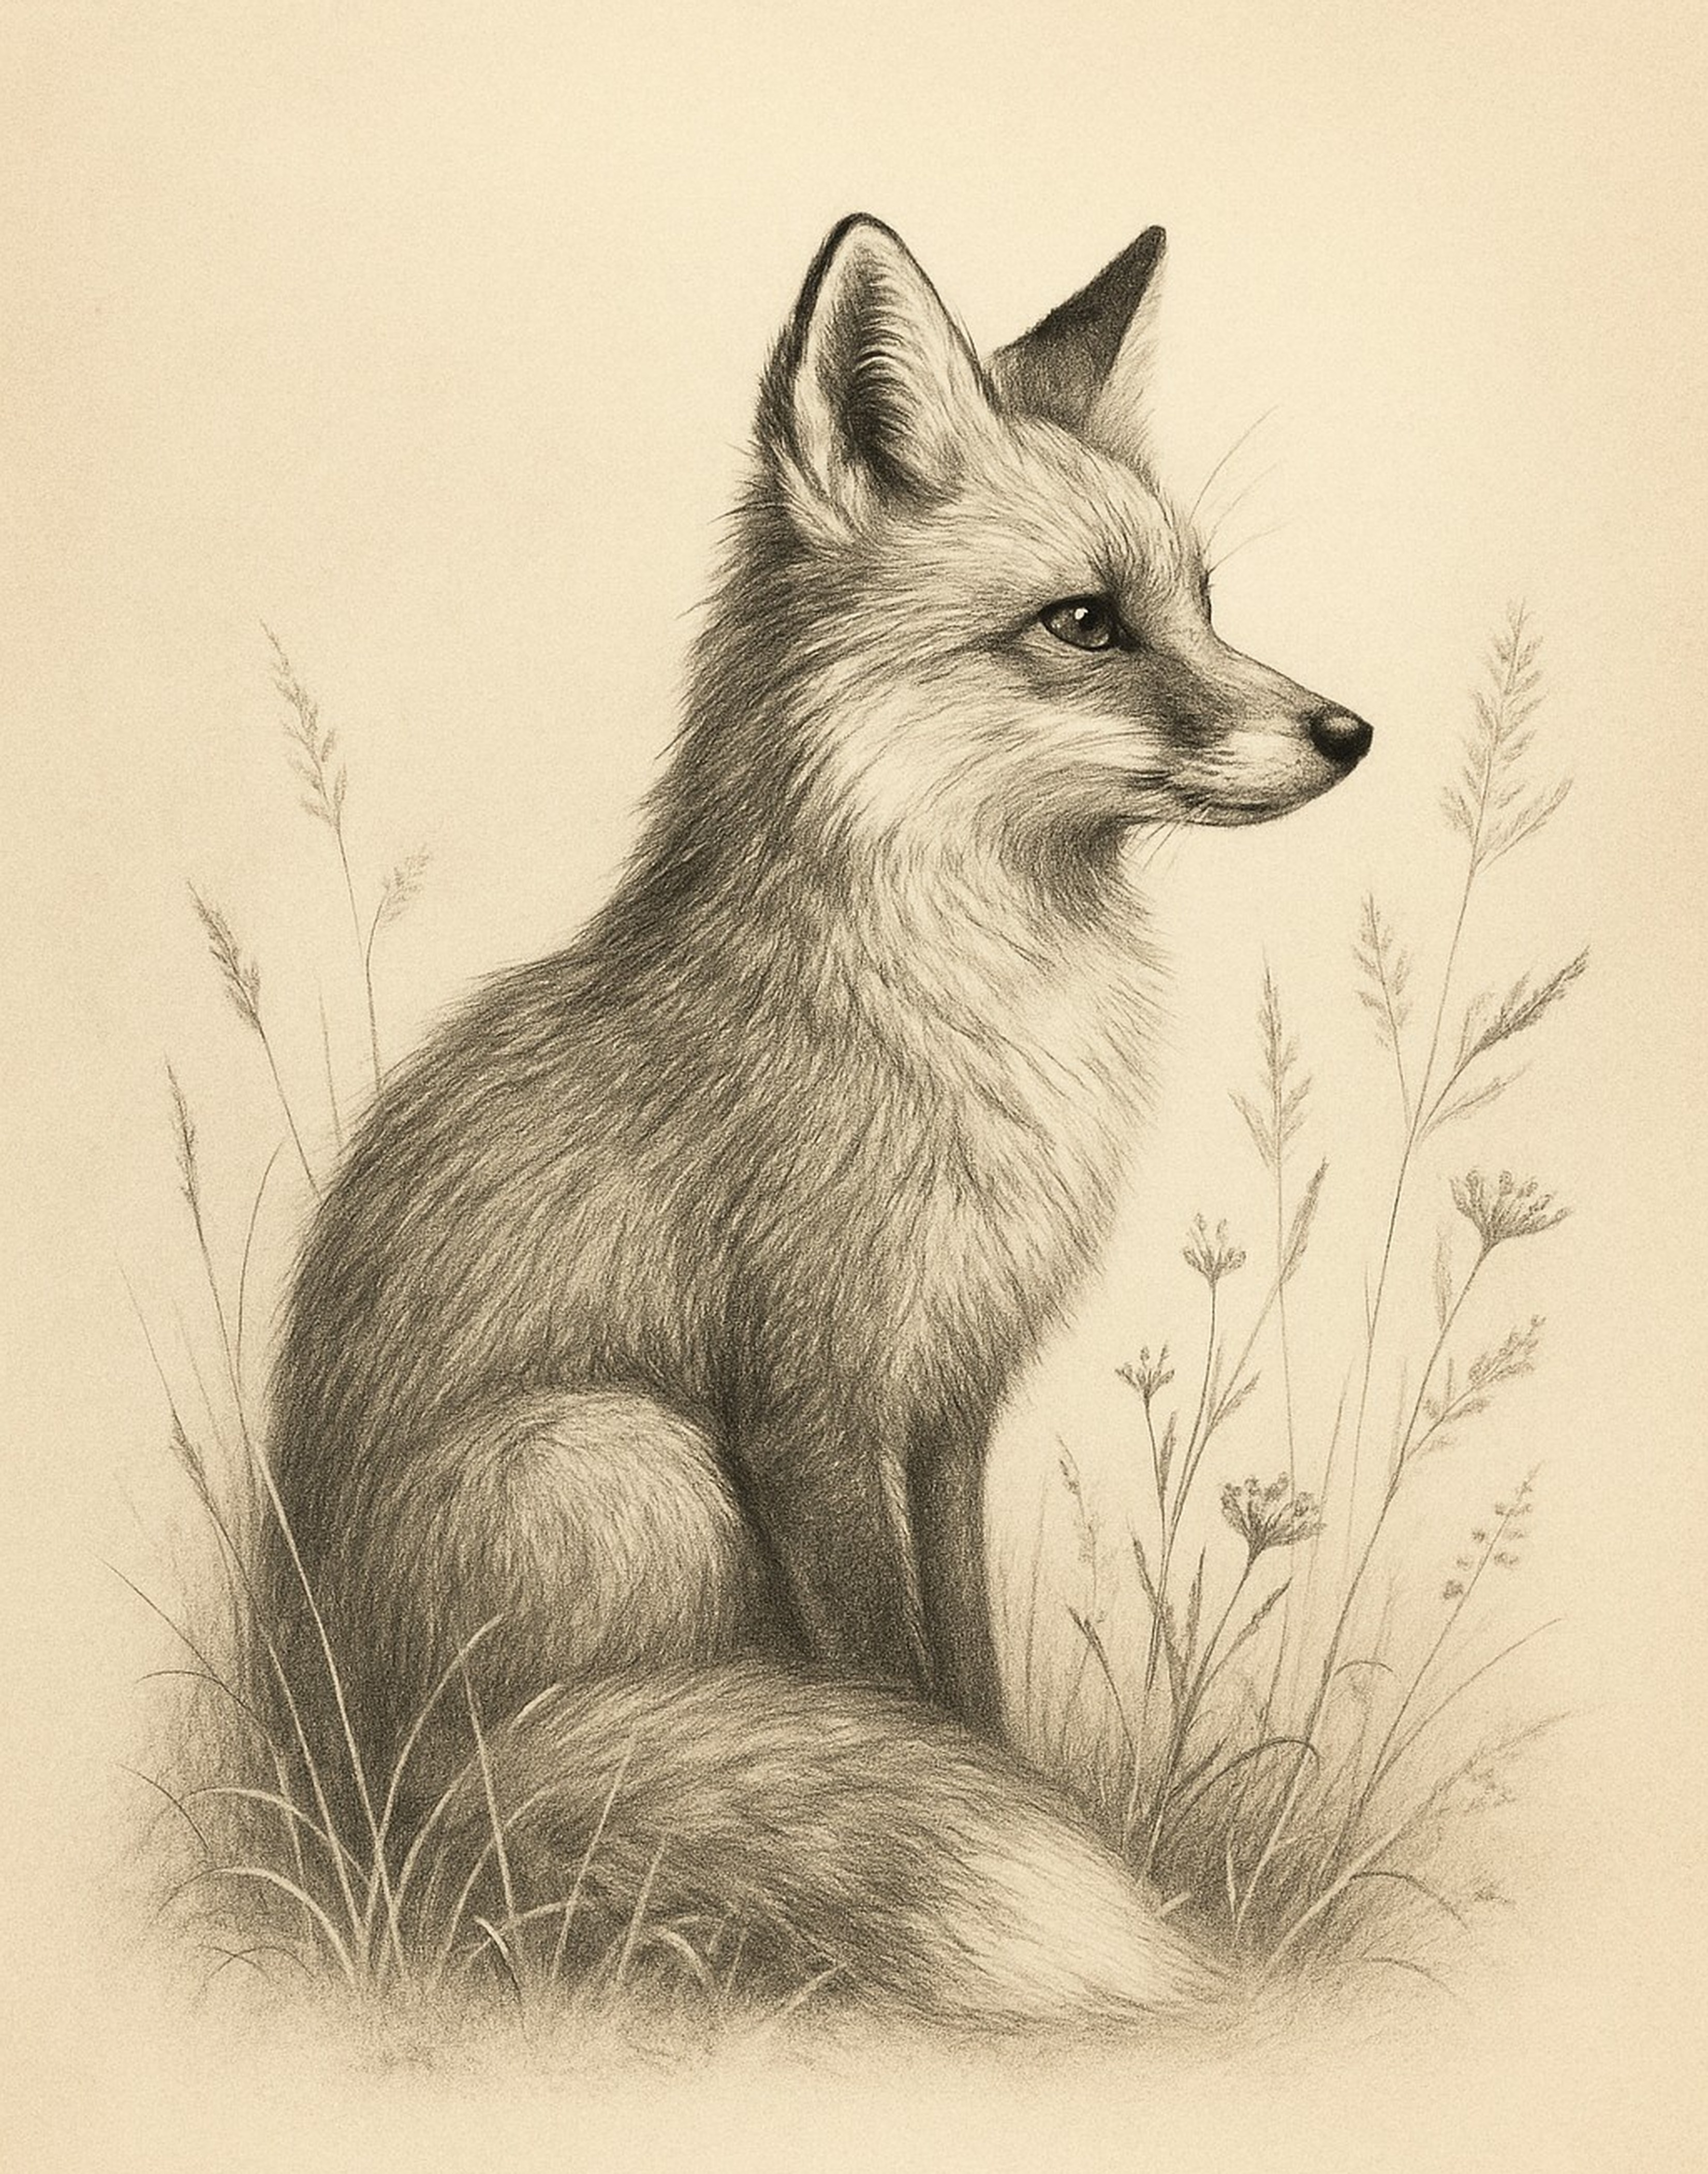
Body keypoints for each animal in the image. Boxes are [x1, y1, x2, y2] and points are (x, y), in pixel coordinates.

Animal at [268, 214, 1372, 2029]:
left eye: (1202, 604)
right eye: (1085, 621)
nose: (1348, 731)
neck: (960, 1019)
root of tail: (331, 1775)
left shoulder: (947, 1408)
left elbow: (964, 1683)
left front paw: (1015, 1797)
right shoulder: (809, 1408)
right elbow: (886, 1679)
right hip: (627, 1459)